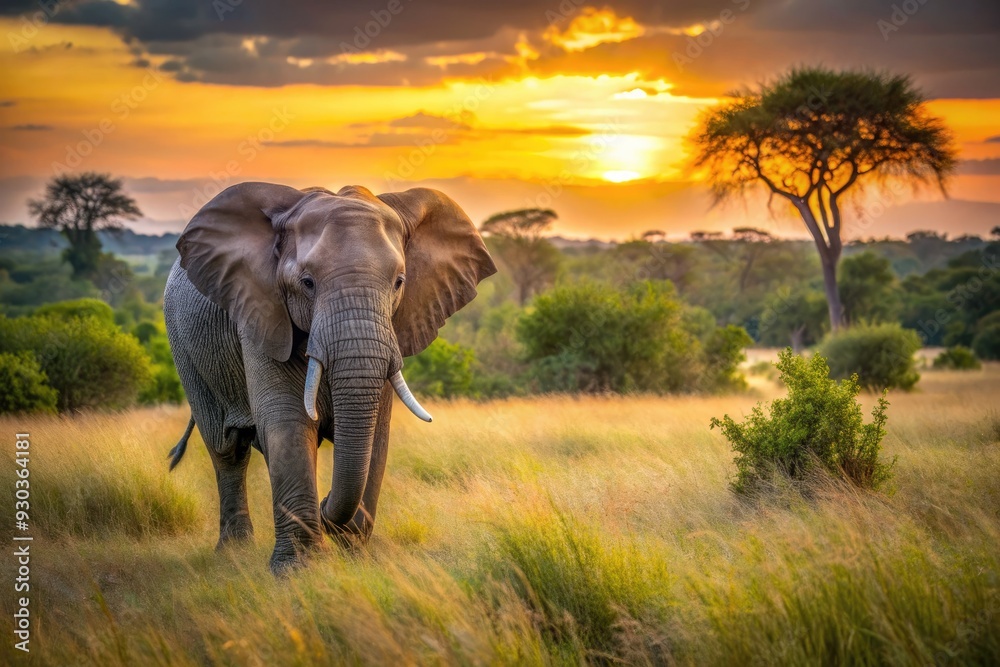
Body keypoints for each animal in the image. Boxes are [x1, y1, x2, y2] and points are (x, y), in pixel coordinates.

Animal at [163, 182, 496, 574]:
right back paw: (234, 552)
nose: (325, 509)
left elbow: (375, 433)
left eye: (399, 283)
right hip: (185, 348)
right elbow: (288, 421)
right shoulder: (262, 312)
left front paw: (354, 555)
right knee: (226, 449)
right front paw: (297, 571)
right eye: (307, 283)